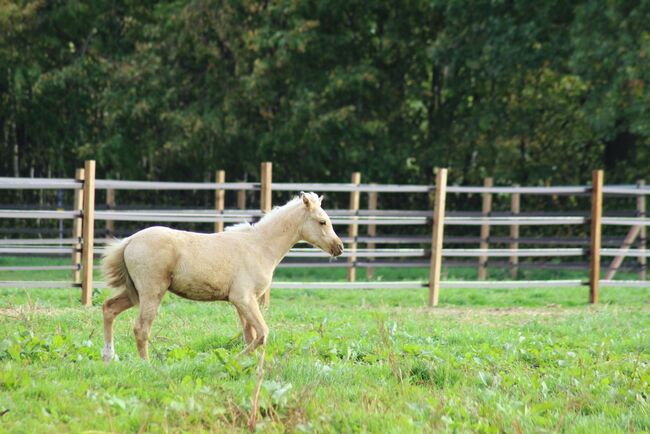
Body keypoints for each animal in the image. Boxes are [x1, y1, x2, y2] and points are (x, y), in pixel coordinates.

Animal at [100, 192, 342, 362]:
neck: (260, 246)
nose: (338, 247)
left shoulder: (245, 302)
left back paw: (109, 356)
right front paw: (234, 359)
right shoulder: (243, 298)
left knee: (109, 308)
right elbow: (262, 333)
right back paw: (146, 364)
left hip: (135, 292)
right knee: (141, 328)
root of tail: (130, 240)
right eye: (322, 221)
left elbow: (250, 335)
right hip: (151, 292)